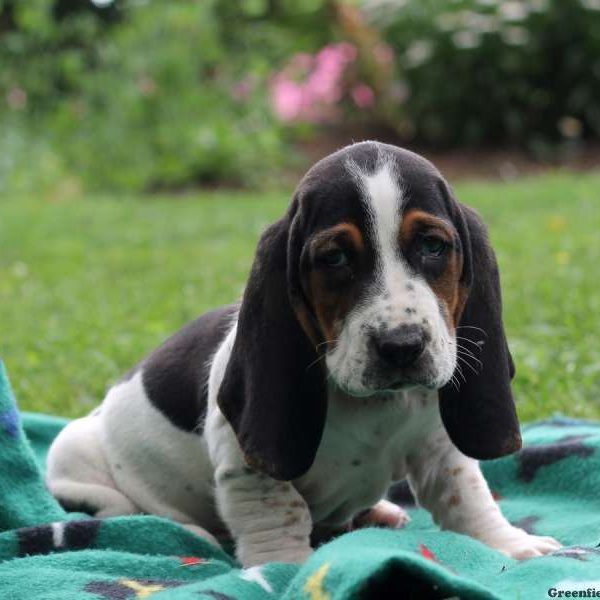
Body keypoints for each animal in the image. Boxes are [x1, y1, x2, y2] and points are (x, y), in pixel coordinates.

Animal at [47, 143, 564, 564]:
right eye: (334, 258)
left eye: (433, 245)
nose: (401, 346)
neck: (374, 408)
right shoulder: (246, 465)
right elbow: (281, 512)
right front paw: (284, 569)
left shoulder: (438, 445)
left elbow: (466, 495)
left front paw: (511, 544)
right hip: (73, 454)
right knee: (126, 510)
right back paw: (192, 533)